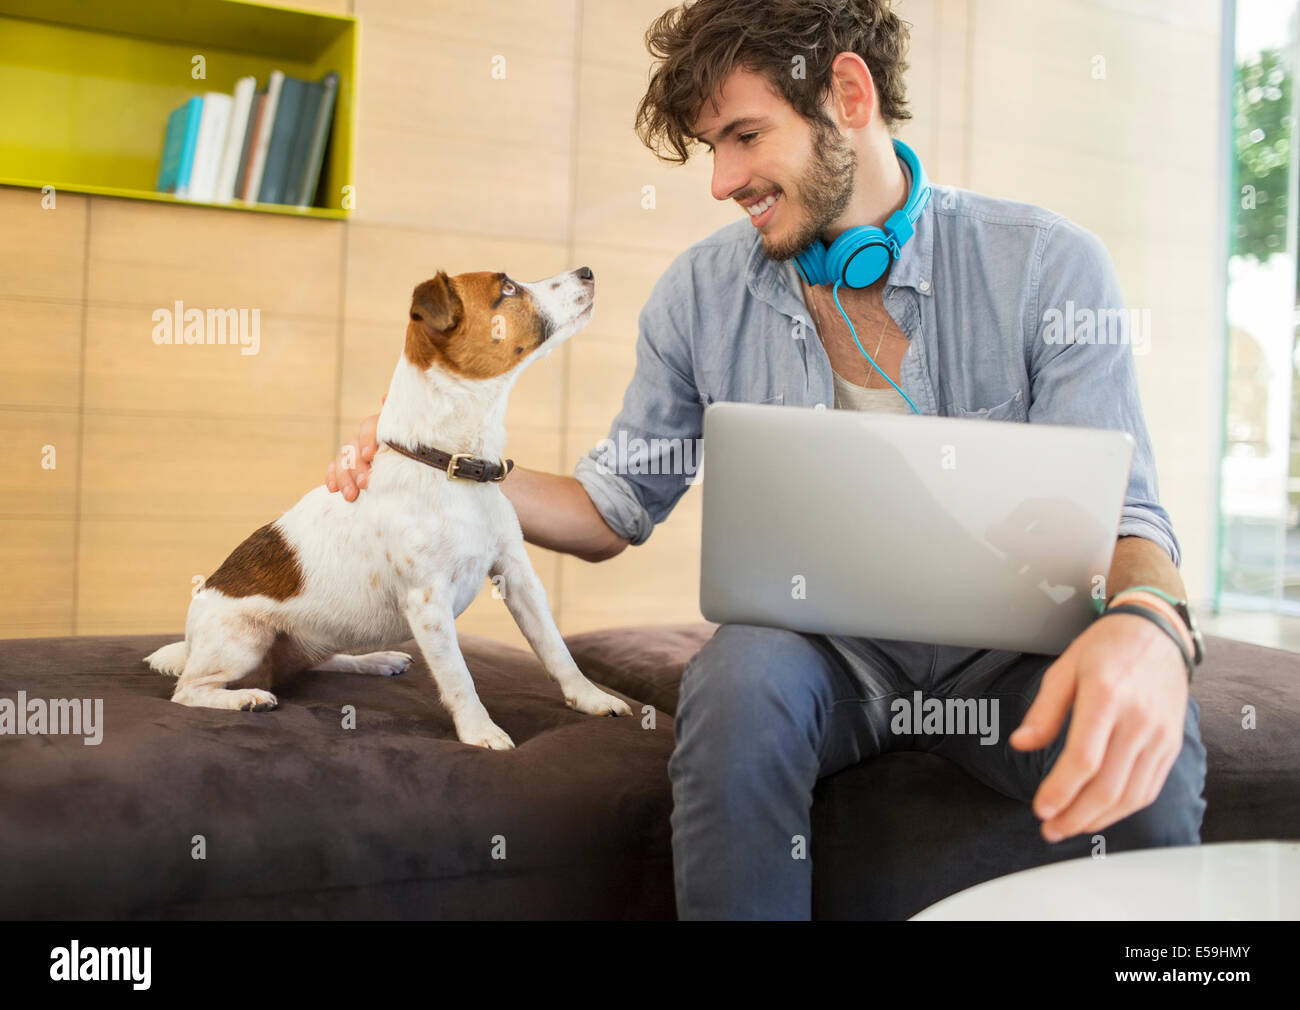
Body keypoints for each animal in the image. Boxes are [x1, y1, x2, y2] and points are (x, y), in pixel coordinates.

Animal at [144, 267, 631, 748]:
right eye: (508, 288)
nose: (587, 270)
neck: (449, 466)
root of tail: (191, 644)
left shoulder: (517, 575)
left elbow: (556, 648)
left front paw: (590, 698)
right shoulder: (428, 602)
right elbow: (459, 677)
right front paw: (479, 730)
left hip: (307, 642)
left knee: (318, 662)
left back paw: (373, 661)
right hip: (243, 639)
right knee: (188, 691)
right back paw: (244, 698)